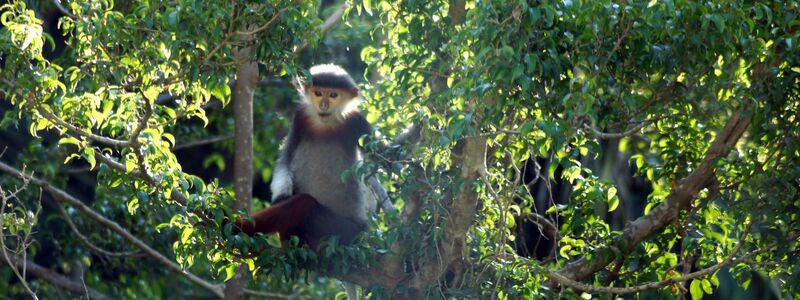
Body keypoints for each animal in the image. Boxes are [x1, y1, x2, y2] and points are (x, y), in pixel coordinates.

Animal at [234, 64, 376, 250]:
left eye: (333, 95)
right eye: (318, 93)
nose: (323, 104)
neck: (325, 124)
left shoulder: (358, 123)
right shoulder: (300, 118)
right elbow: (285, 161)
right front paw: (280, 197)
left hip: (341, 232)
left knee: (303, 203)